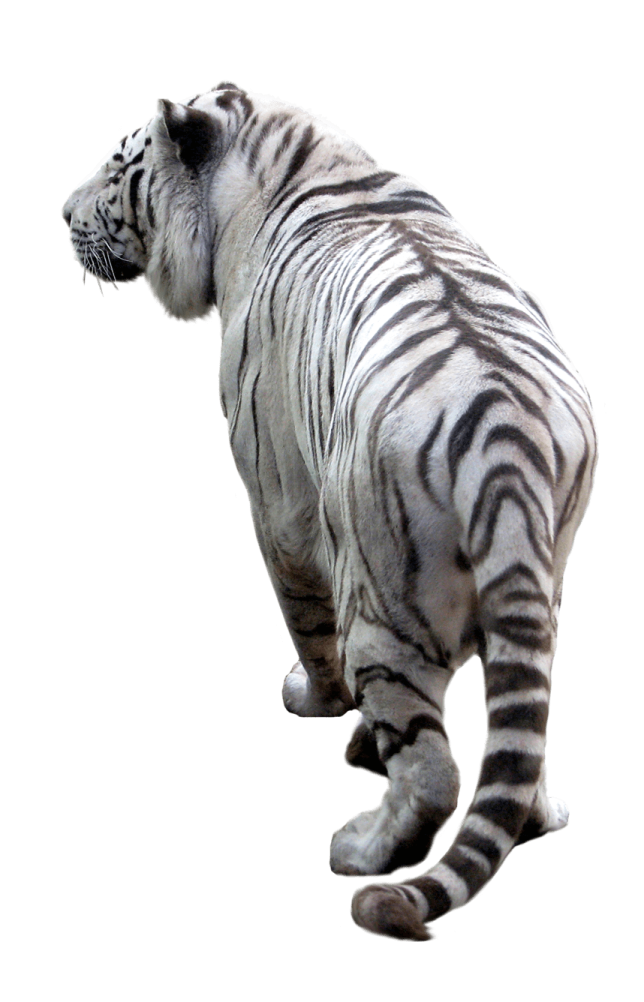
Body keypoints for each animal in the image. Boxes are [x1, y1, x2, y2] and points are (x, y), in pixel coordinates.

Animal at [61, 81, 598, 942]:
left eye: (116, 168)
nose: (60, 215)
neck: (289, 165)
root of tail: (505, 443)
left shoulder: (277, 497)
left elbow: (307, 626)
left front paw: (317, 706)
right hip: (543, 583)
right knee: (525, 723)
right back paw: (541, 813)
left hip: (384, 602)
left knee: (432, 770)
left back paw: (362, 850)